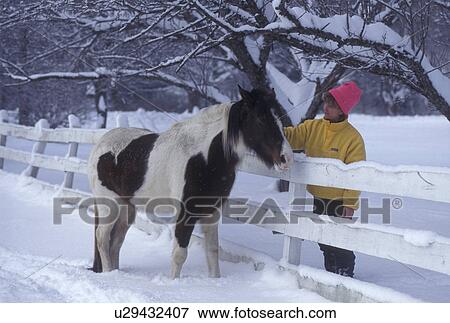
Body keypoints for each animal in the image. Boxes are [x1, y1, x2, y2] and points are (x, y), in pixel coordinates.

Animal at [88, 88, 294, 278]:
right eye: (260, 119)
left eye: (279, 120)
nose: (286, 158)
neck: (205, 158)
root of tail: (101, 143)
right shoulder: (185, 213)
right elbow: (179, 254)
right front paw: (174, 283)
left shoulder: (212, 212)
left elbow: (212, 251)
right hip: (109, 205)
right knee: (102, 238)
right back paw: (109, 273)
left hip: (127, 209)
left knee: (116, 241)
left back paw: (116, 272)